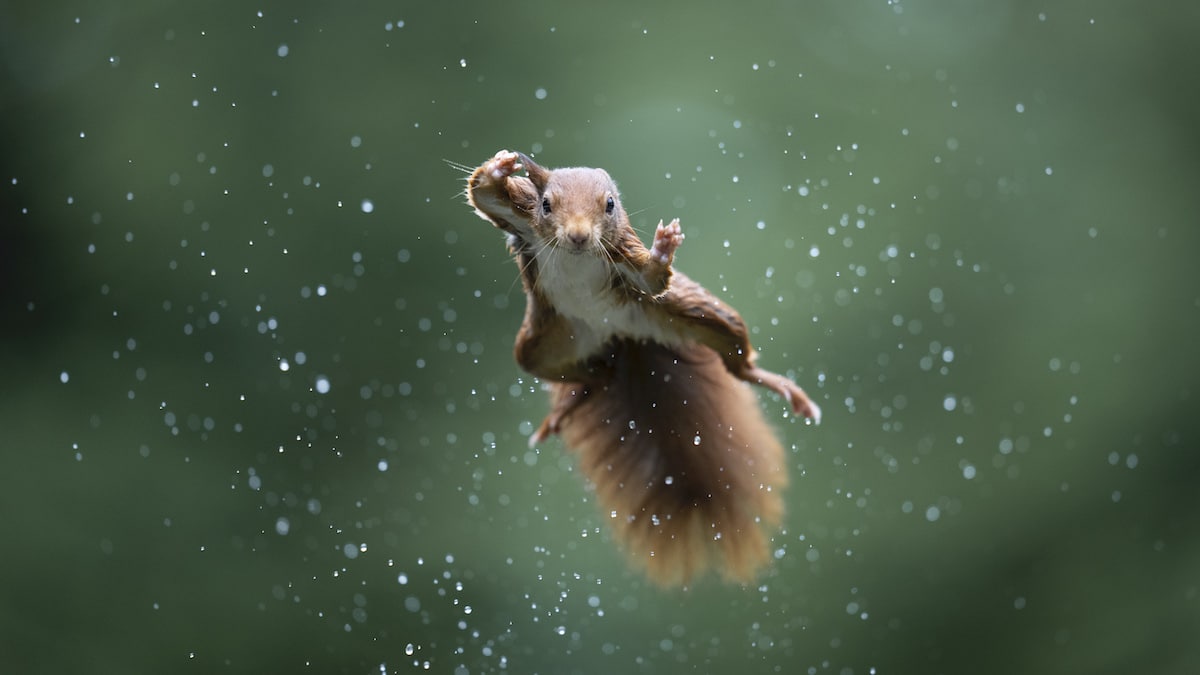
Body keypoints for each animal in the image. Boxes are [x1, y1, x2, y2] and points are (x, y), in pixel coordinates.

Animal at [463, 149, 820, 581]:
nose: (579, 237)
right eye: (546, 204)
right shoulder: (522, 218)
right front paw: (500, 166)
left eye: (610, 205)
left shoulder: (624, 256)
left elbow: (652, 278)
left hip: (696, 313)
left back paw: (780, 386)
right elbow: (483, 194)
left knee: (737, 360)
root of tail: (621, 337)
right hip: (542, 345)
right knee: (592, 375)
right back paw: (569, 405)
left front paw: (664, 248)